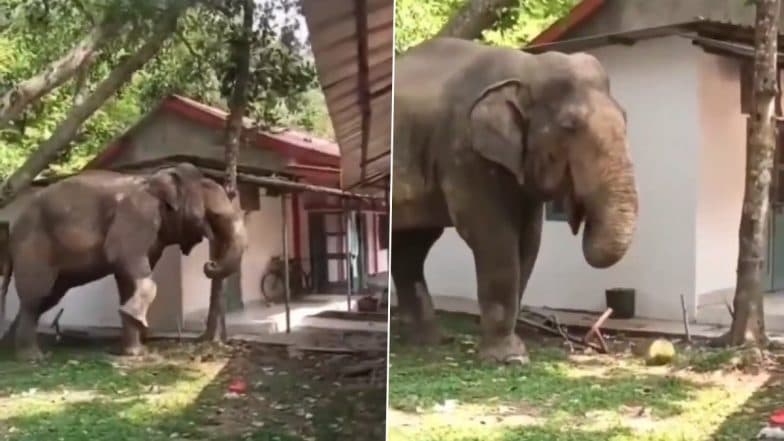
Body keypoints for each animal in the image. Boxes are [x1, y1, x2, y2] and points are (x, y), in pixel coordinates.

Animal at [392, 37, 636, 360]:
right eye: (569, 126)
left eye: (625, 117)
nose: (578, 213)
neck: (526, 67)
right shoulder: (464, 151)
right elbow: (493, 237)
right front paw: (510, 358)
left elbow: (529, 240)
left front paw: (509, 351)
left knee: (411, 247)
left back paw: (429, 342)